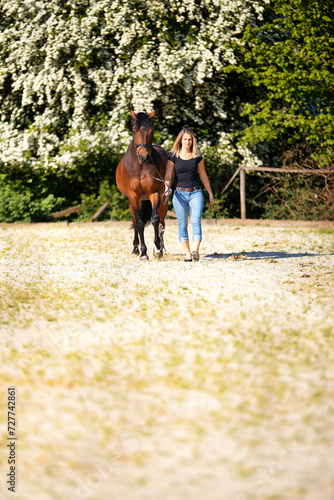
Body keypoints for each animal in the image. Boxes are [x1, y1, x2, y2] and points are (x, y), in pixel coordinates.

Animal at [117, 110, 170, 262]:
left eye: (151, 131)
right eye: (134, 131)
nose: (144, 157)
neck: (140, 167)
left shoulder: (155, 194)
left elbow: (155, 219)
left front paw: (157, 249)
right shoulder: (133, 196)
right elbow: (139, 222)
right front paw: (143, 252)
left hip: (163, 200)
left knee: (161, 222)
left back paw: (161, 248)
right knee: (136, 220)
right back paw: (136, 248)